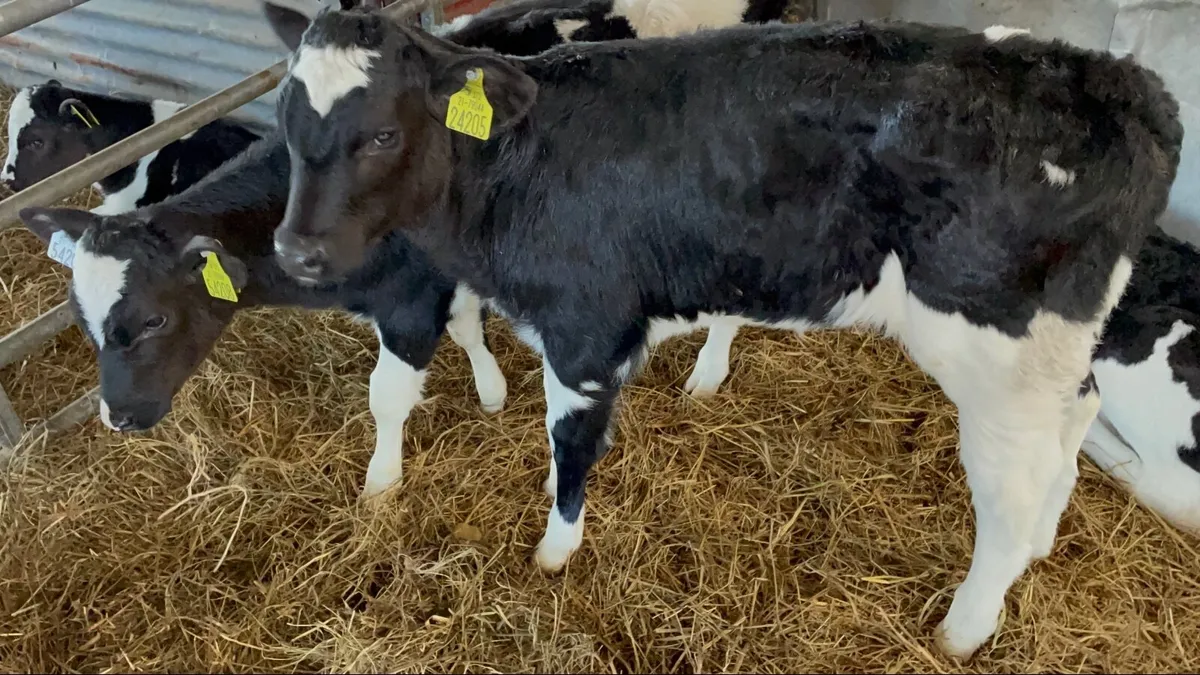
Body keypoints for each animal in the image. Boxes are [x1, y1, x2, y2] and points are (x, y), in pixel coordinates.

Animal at [259, 2, 1183, 658]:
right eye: (288, 125)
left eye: (382, 132)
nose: (295, 250)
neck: (518, 165)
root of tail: (1125, 83)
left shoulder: (586, 324)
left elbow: (570, 445)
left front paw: (555, 553)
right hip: (1056, 351)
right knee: (1074, 422)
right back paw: (1042, 544)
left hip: (998, 352)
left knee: (1009, 488)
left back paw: (964, 628)